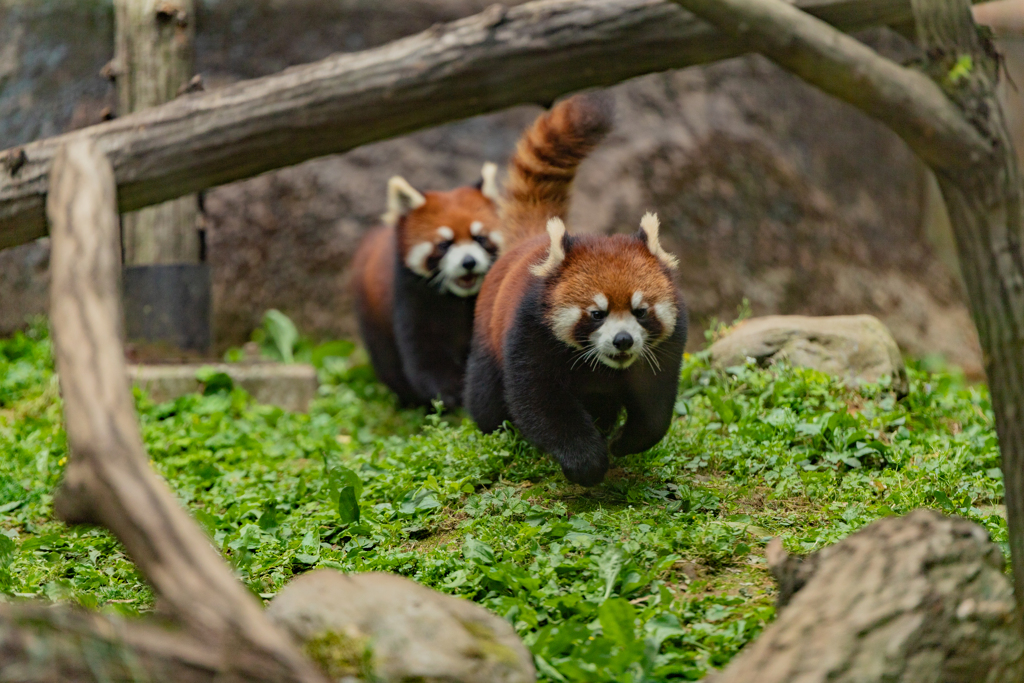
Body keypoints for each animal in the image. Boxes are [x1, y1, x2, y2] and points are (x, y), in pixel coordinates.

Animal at [352, 165, 503, 409]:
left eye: (479, 238)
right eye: (444, 244)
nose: (468, 262)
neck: (458, 299)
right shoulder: (412, 299)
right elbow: (426, 355)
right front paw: (452, 392)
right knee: (387, 361)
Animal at [464, 93, 688, 485]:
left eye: (640, 311)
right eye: (596, 313)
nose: (623, 341)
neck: (601, 366)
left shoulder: (665, 347)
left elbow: (655, 405)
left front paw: (625, 442)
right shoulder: (530, 333)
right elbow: (540, 404)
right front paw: (587, 462)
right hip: (488, 333)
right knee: (485, 396)